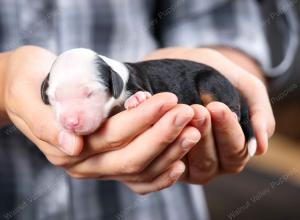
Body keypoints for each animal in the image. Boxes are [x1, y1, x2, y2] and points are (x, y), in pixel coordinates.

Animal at [41, 47, 258, 156]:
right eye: (54, 98)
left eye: (90, 93)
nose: (71, 123)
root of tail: (235, 89)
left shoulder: (135, 82)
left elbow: (138, 91)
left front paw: (136, 98)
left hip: (211, 82)